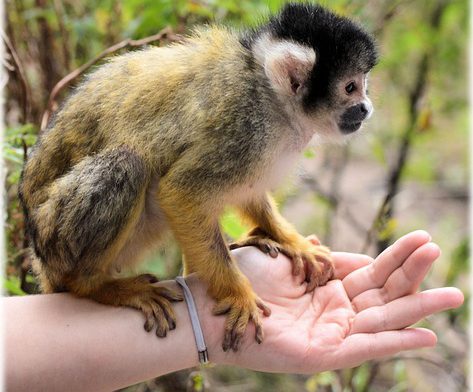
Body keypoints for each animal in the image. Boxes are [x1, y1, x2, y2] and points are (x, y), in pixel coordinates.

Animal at [20, 3, 378, 352]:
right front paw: (238, 294)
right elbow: (180, 192)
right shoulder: (243, 126)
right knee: (127, 164)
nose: (366, 107)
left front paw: (293, 241)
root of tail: (39, 256)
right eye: (350, 87)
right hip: (57, 240)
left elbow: (249, 192)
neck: (271, 97)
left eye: (363, 84)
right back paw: (95, 286)